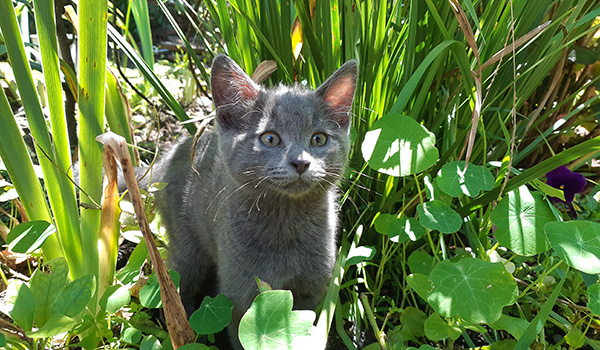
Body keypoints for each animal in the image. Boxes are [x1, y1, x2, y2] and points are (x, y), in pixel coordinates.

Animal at [146, 56, 356, 348]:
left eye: (319, 138)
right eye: (270, 138)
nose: (301, 162)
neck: (284, 225)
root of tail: (166, 157)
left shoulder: (313, 291)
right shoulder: (241, 297)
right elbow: (241, 336)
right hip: (186, 244)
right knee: (179, 281)